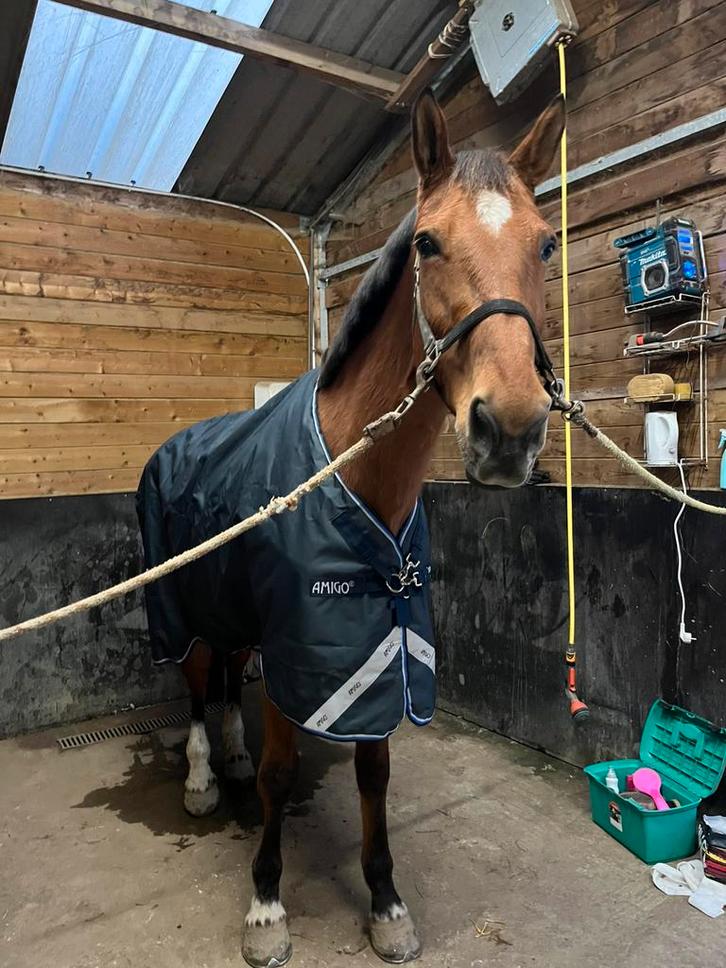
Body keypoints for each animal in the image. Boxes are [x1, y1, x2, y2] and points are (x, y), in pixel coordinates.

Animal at [136, 88, 564, 967]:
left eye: (545, 243)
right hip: (182, 606)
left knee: (226, 678)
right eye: (429, 241)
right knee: (195, 685)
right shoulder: (304, 645)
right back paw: (200, 778)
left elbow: (375, 775)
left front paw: (386, 902)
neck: (355, 477)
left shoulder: (379, 646)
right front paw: (265, 908)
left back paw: (228, 752)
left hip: (235, 608)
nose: (510, 429)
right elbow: (278, 773)